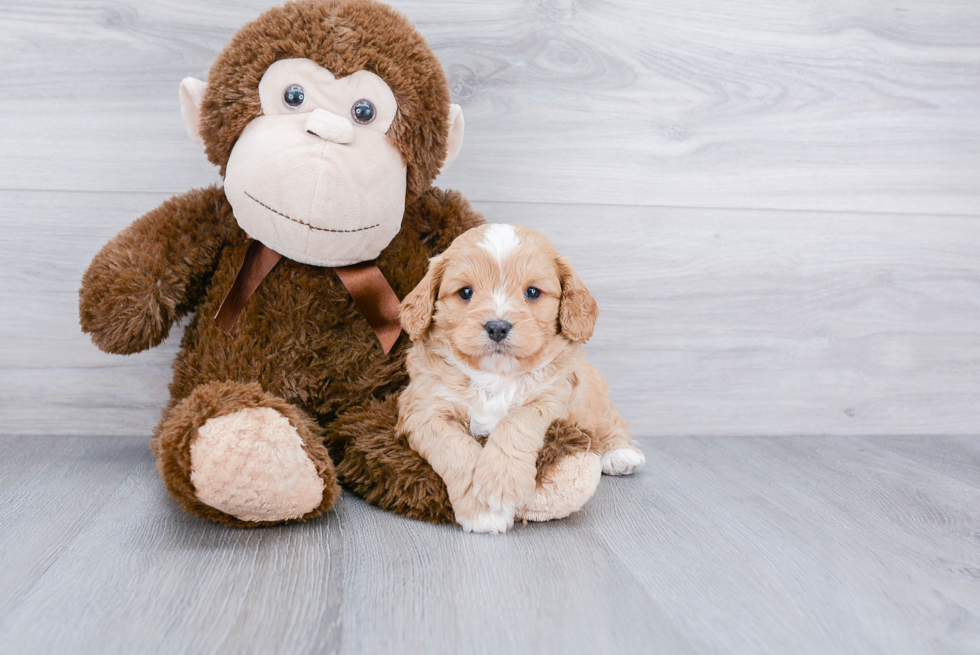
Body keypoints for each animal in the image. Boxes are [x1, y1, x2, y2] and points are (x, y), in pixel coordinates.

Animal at [394, 226, 648, 532]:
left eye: (532, 292)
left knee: (610, 422)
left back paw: (621, 453)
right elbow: (456, 447)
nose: (497, 327)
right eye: (465, 292)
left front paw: (500, 483)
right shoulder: (424, 410)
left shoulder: (552, 398)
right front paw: (483, 512)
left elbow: (517, 421)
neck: (496, 375)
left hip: (593, 392)